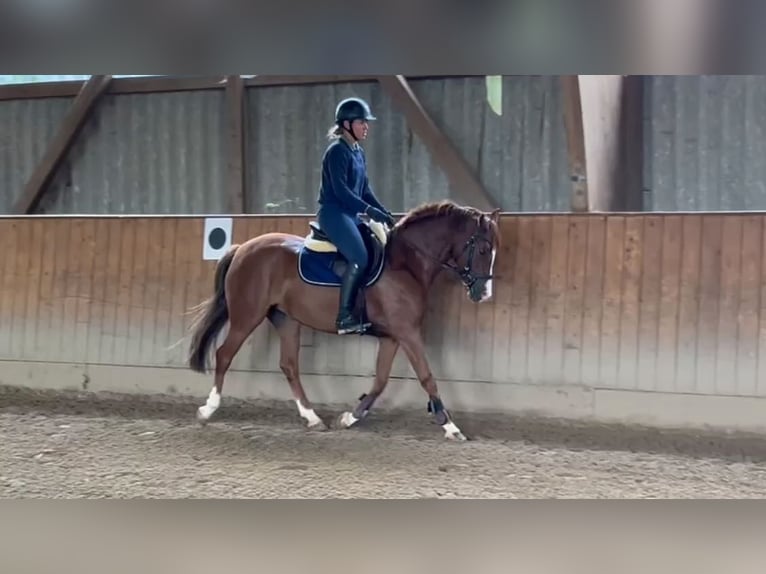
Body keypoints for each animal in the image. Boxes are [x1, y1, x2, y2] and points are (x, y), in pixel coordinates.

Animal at [188, 199, 504, 440]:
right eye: (483, 249)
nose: (484, 293)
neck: (406, 263)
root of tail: (243, 248)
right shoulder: (407, 332)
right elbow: (427, 376)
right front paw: (450, 426)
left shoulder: (392, 336)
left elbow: (380, 381)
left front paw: (351, 417)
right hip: (247, 315)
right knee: (224, 354)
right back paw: (207, 410)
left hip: (286, 319)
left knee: (289, 365)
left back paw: (313, 418)